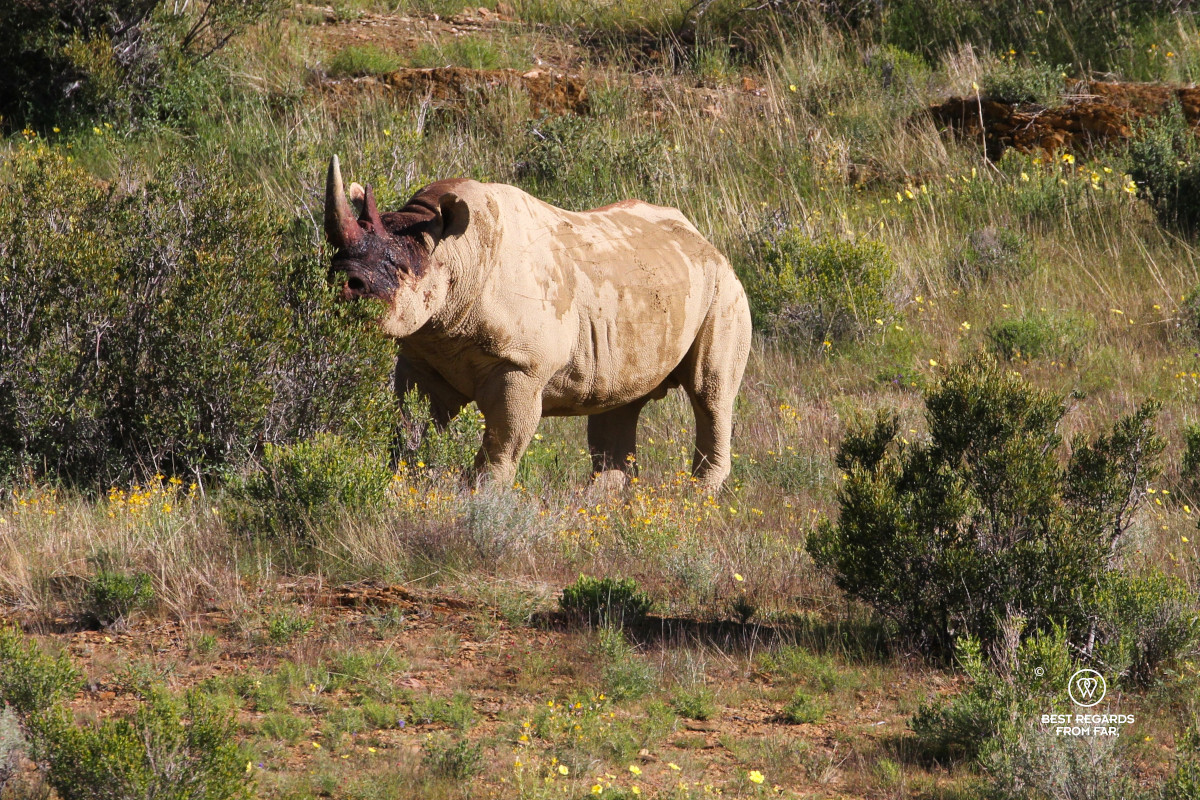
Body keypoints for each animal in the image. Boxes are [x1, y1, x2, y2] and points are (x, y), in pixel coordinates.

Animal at [323, 156, 752, 489]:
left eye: (400, 267)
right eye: (334, 253)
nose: (342, 285)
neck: (455, 254)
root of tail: (705, 242)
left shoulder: (523, 364)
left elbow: (503, 444)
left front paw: (480, 500)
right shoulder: (424, 354)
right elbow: (409, 431)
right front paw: (403, 490)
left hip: (724, 290)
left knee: (711, 394)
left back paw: (696, 502)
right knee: (619, 404)